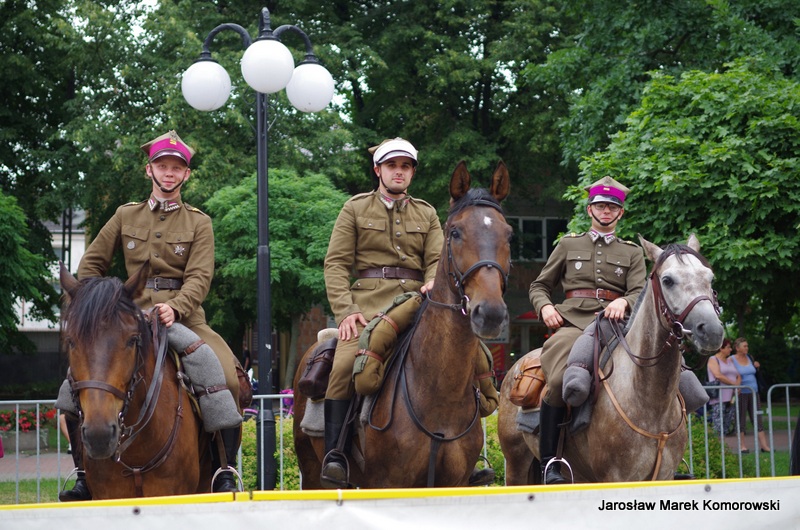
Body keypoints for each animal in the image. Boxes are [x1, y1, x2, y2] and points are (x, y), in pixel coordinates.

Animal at [293, 161, 512, 488]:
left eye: (508, 234)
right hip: (310, 470)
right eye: (455, 232)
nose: (491, 313)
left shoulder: (453, 483)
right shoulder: (390, 483)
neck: (439, 393)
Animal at [498, 235, 724, 484]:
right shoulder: (615, 477)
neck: (650, 400)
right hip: (516, 464)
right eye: (667, 280)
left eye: (710, 277)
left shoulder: (662, 476)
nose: (711, 330)